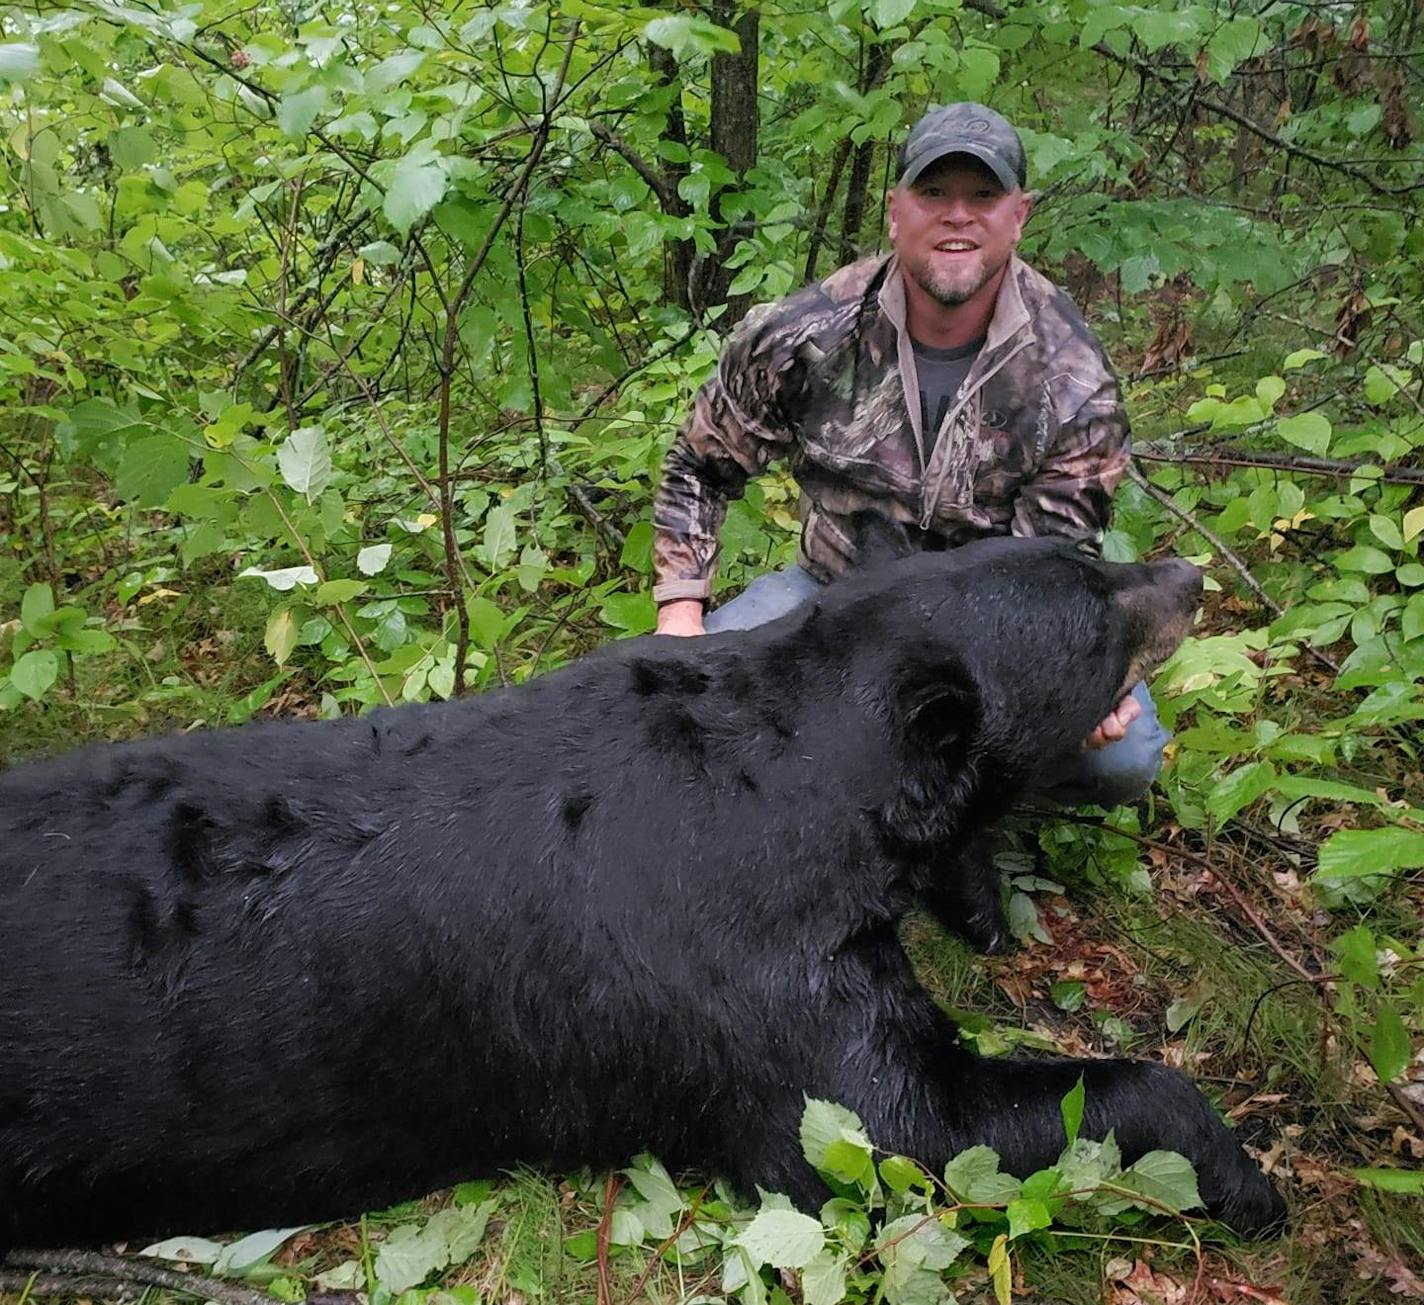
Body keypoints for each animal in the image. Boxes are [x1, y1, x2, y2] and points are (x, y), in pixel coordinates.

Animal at [0, 541, 1287, 1253]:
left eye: (1088, 553)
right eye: (1092, 610)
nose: (1187, 575)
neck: (802, 777)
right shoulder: (752, 972)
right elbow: (894, 1128)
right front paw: (1244, 1178)